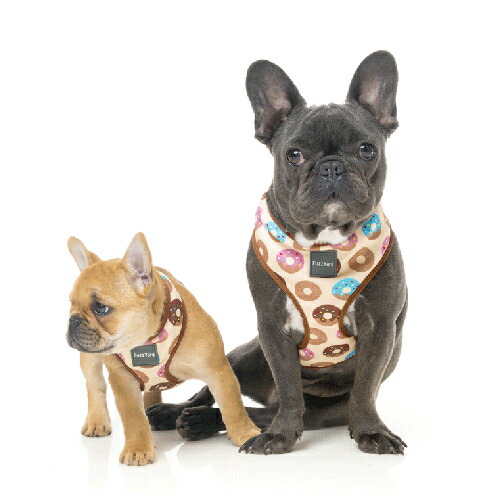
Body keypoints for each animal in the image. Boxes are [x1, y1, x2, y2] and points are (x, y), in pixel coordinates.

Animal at [67, 233, 260, 465]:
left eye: (101, 308)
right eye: (70, 304)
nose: (73, 320)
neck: (147, 340)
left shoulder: (218, 371)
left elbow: (233, 407)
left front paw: (246, 434)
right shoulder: (123, 381)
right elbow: (133, 417)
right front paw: (138, 448)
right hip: (90, 359)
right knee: (94, 385)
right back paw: (97, 421)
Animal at [147, 50, 408, 455]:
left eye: (367, 150)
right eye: (294, 155)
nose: (331, 167)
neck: (322, 246)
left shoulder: (379, 330)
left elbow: (365, 389)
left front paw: (370, 431)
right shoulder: (272, 328)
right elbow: (287, 387)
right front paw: (281, 436)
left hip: (326, 409)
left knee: (259, 411)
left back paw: (200, 422)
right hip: (243, 356)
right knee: (222, 393)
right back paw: (174, 412)